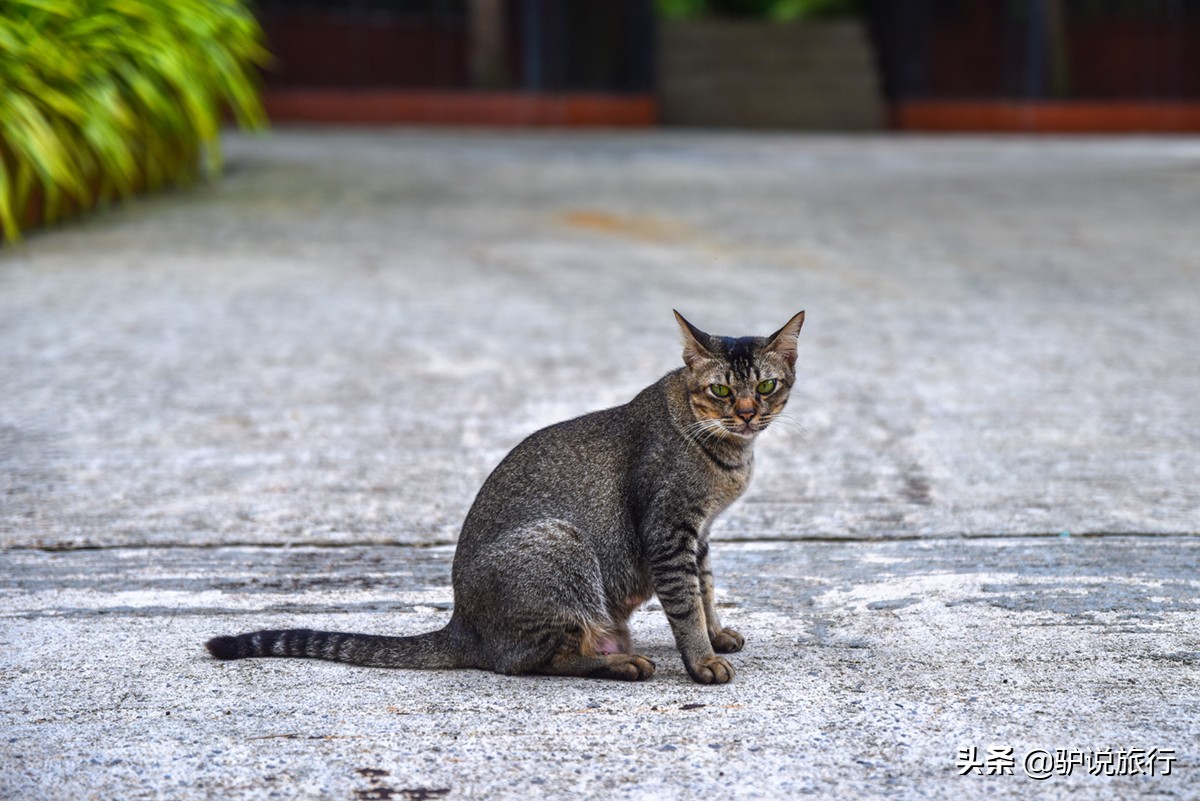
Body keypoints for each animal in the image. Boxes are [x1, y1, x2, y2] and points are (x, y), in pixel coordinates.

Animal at [206, 309, 806, 685]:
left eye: (766, 386)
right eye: (722, 390)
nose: (747, 412)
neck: (728, 454)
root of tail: (461, 625)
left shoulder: (699, 534)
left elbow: (706, 589)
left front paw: (716, 634)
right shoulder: (668, 530)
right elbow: (684, 603)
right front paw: (701, 661)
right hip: (561, 543)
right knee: (527, 661)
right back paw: (622, 665)